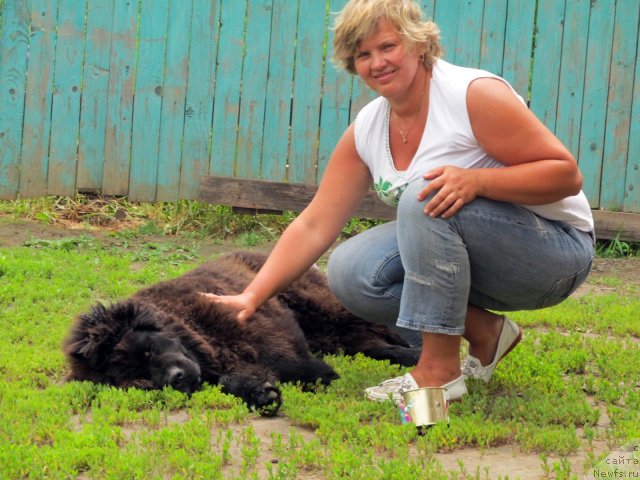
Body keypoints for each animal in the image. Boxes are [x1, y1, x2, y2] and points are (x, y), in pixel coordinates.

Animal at [62, 249, 418, 414]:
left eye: (148, 348)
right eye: (139, 381)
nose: (176, 379)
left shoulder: (269, 338)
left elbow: (298, 367)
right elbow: (229, 379)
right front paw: (261, 393)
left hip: (321, 307)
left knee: (371, 329)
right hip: (330, 334)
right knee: (365, 342)